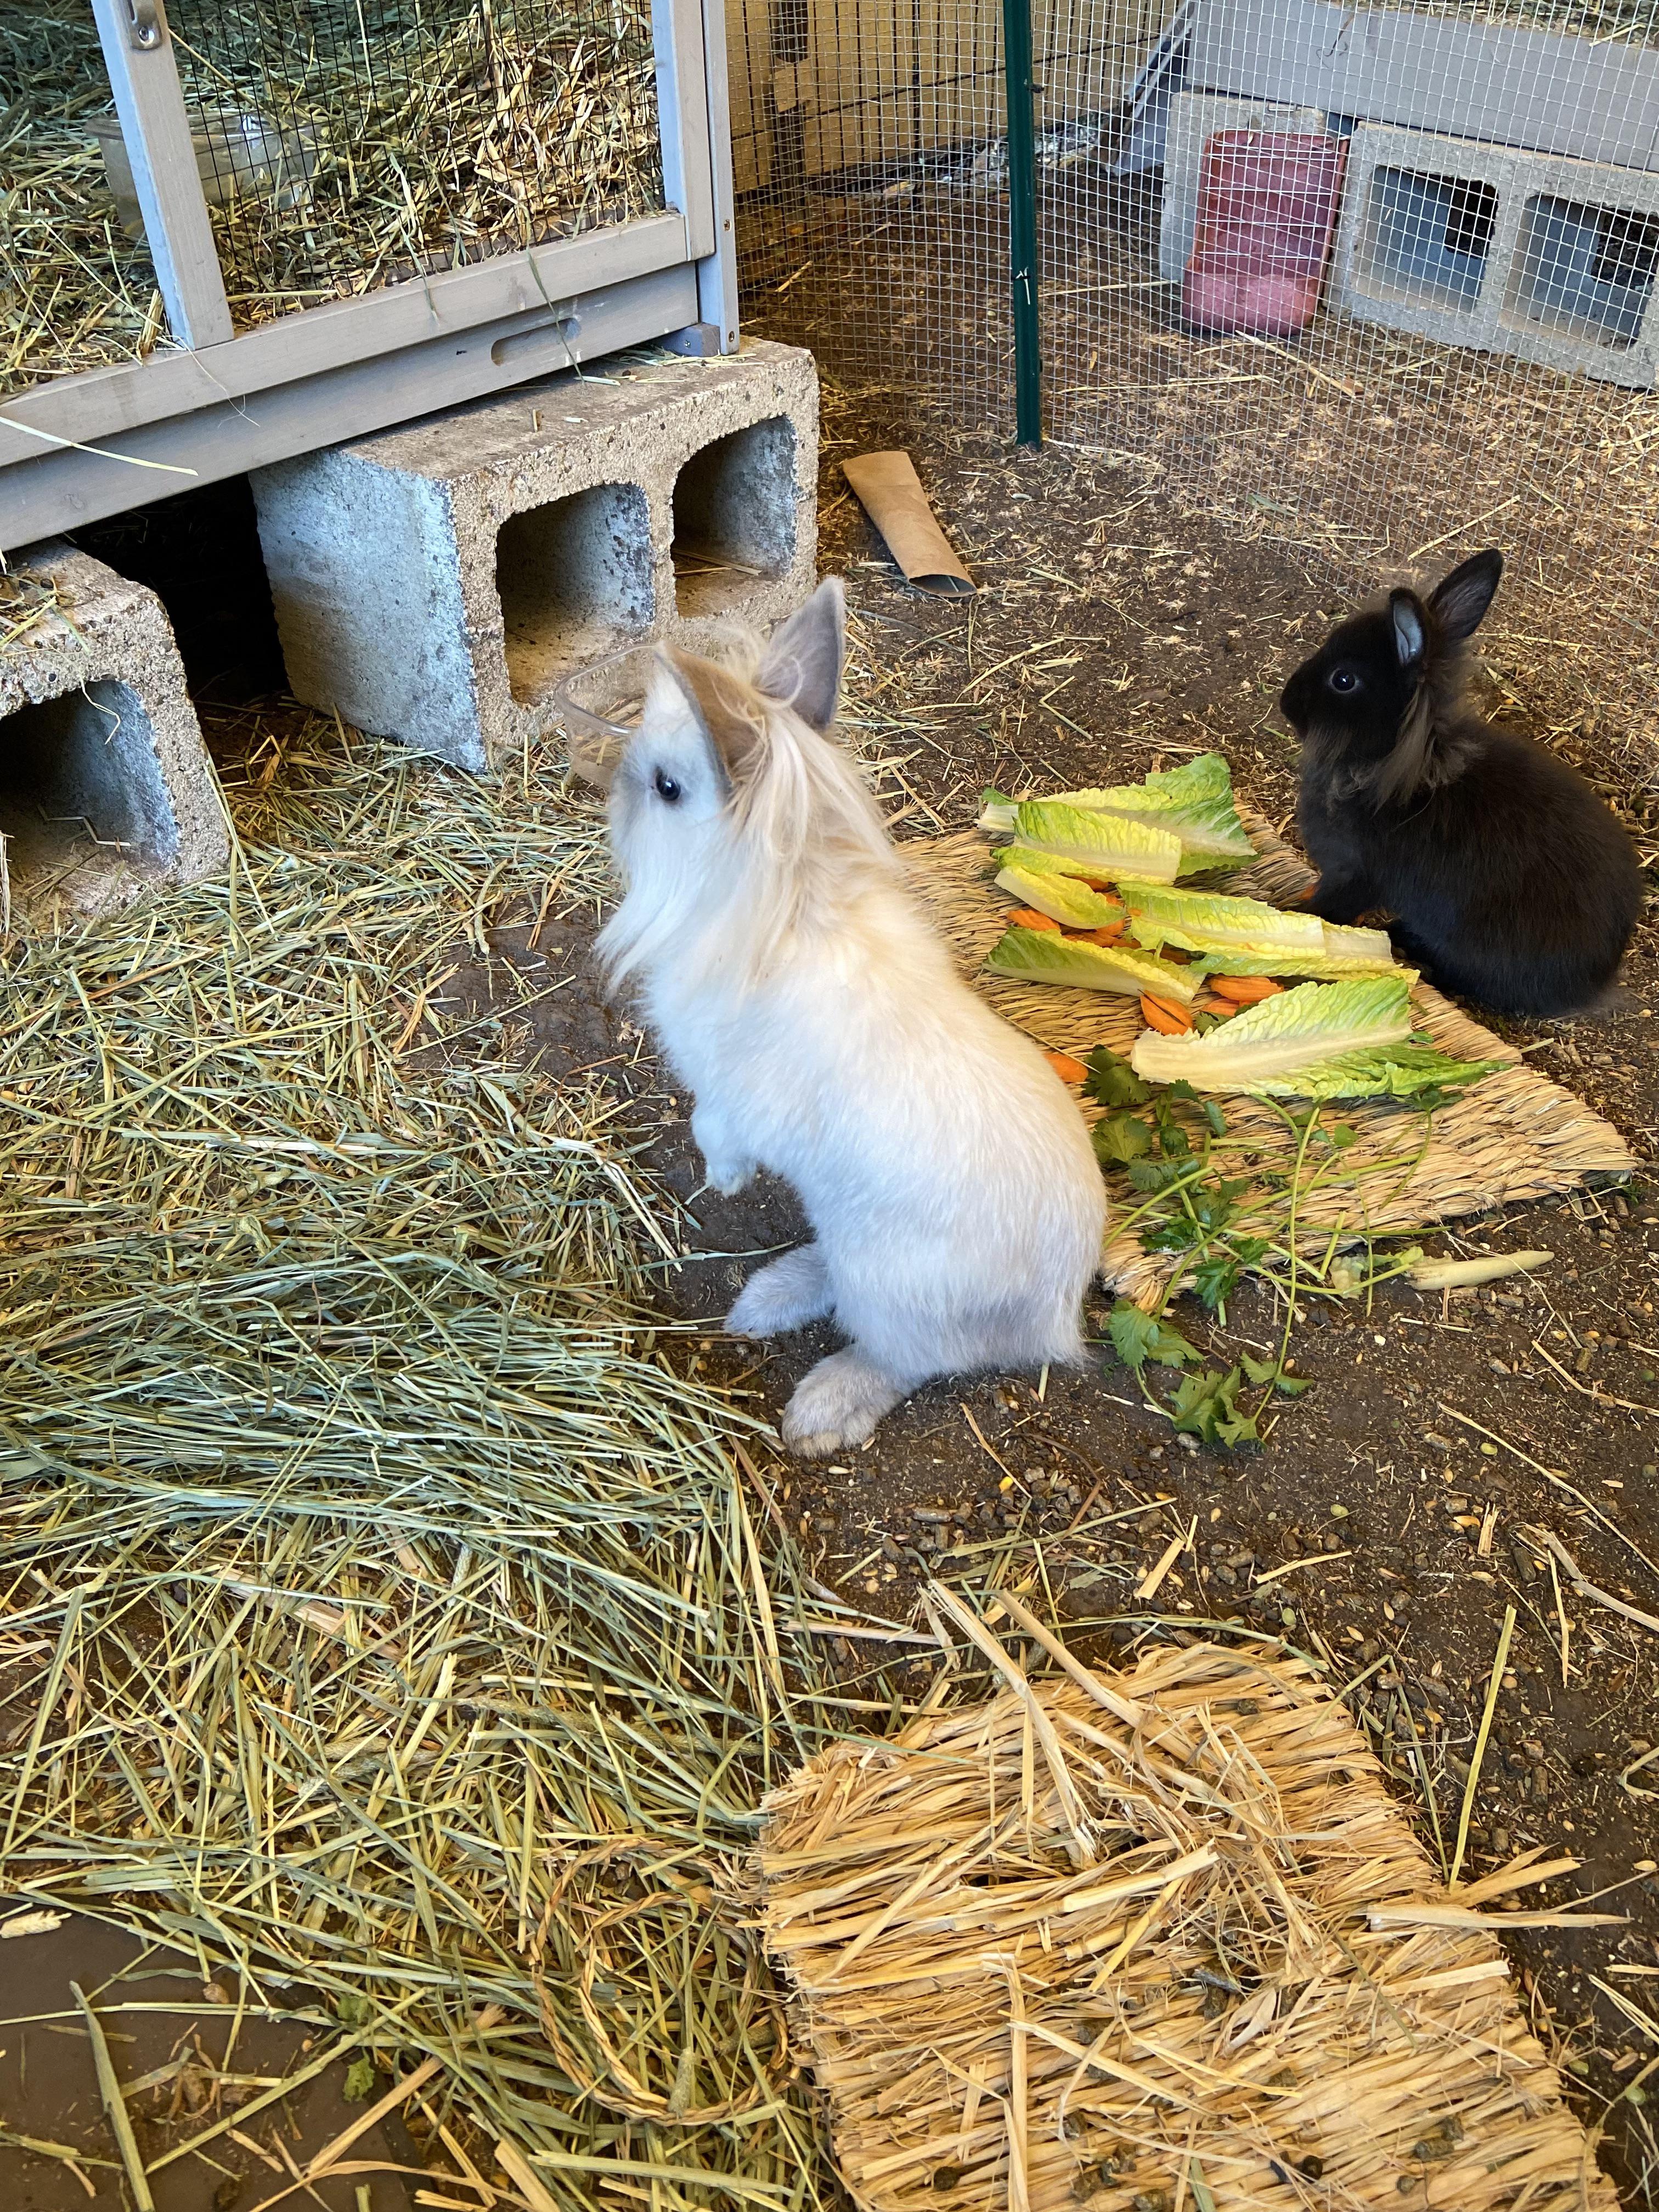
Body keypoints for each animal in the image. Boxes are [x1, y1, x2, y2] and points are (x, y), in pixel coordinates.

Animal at [597, 578, 1107, 1457]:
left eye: (666, 787)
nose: (613, 796)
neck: (793, 903)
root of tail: (1054, 1314)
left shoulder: (729, 1099)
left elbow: (712, 1133)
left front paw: (721, 1182)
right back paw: (763, 1302)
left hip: (888, 1287)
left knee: (907, 1358)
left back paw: (820, 1407)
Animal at [1280, 549, 1642, 1017]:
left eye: (1343, 681)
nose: (1286, 701)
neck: (1396, 766)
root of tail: (1594, 983)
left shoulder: (1355, 877)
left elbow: (1329, 908)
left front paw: (1291, 913)